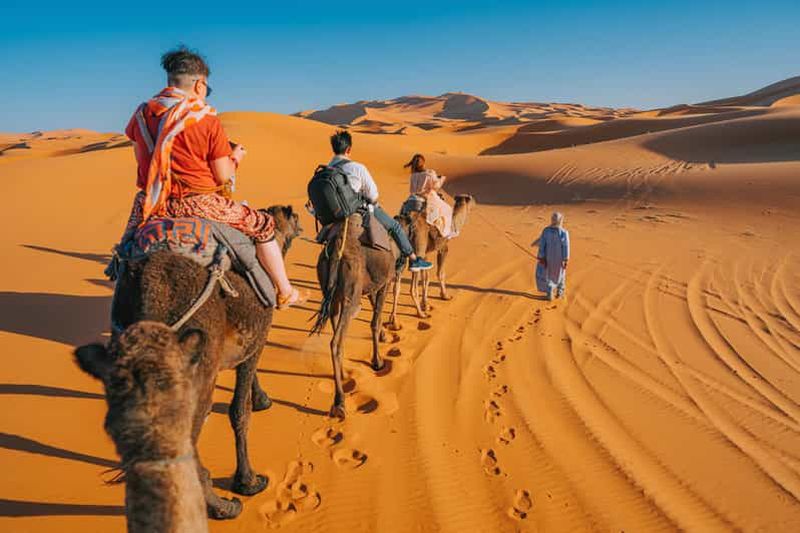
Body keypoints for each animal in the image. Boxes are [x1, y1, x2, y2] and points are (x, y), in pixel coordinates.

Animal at [75, 205, 301, 529]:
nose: (303, 222)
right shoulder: (258, 337)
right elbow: (239, 411)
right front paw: (248, 482)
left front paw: (262, 398)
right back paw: (223, 507)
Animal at [312, 213, 397, 419]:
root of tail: (337, 249)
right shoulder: (384, 283)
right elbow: (375, 321)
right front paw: (378, 362)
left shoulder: (373, 286)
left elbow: (376, 316)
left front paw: (384, 338)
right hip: (352, 293)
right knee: (336, 341)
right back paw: (339, 402)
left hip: (331, 291)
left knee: (336, 329)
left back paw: (342, 376)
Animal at [389, 194, 474, 325]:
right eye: (471, 200)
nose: (475, 204)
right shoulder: (443, 247)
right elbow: (440, 273)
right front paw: (445, 295)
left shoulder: (426, 254)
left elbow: (426, 278)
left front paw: (426, 304)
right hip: (417, 248)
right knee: (412, 287)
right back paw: (421, 314)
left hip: (402, 252)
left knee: (396, 286)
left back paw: (394, 322)